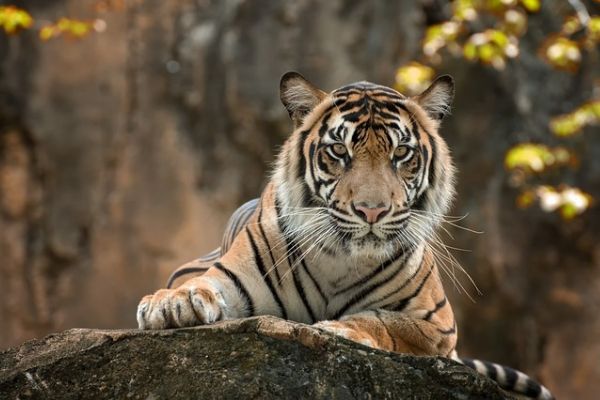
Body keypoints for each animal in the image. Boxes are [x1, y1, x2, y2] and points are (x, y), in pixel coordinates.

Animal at [136, 72, 552, 400]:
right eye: (339, 150)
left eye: (402, 153)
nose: (372, 210)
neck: (340, 259)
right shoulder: (230, 276)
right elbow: (200, 286)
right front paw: (171, 304)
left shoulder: (438, 325)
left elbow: (385, 321)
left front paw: (338, 329)